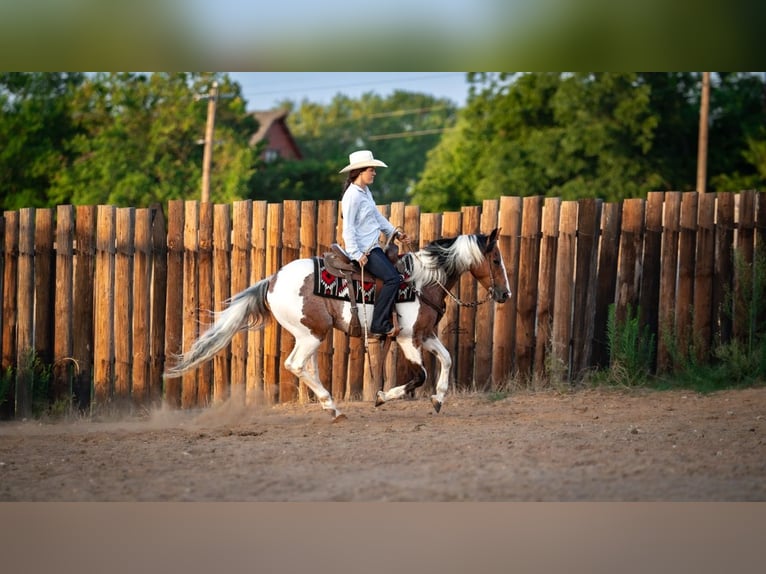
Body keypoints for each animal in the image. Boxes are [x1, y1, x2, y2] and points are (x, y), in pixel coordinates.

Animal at [163, 228, 511, 421]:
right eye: (496, 260)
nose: (505, 294)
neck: (422, 282)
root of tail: (273, 280)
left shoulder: (424, 335)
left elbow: (447, 360)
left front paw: (438, 400)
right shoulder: (406, 339)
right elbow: (419, 375)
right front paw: (382, 397)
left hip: (311, 336)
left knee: (307, 368)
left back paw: (332, 407)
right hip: (311, 334)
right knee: (295, 365)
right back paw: (332, 407)